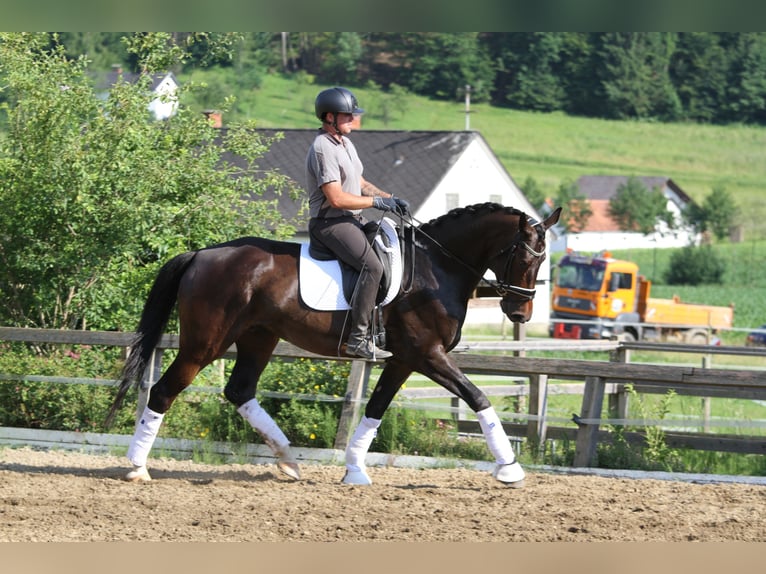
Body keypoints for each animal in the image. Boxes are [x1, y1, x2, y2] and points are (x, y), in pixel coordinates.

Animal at [106, 202, 564, 486]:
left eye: (543, 259)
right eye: (525, 257)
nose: (521, 314)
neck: (437, 269)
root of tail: (201, 254)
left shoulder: (403, 360)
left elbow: (375, 411)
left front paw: (355, 470)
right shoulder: (427, 355)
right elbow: (478, 397)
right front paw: (509, 469)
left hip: (259, 337)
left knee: (240, 391)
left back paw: (289, 462)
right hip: (205, 344)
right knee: (164, 391)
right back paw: (137, 467)